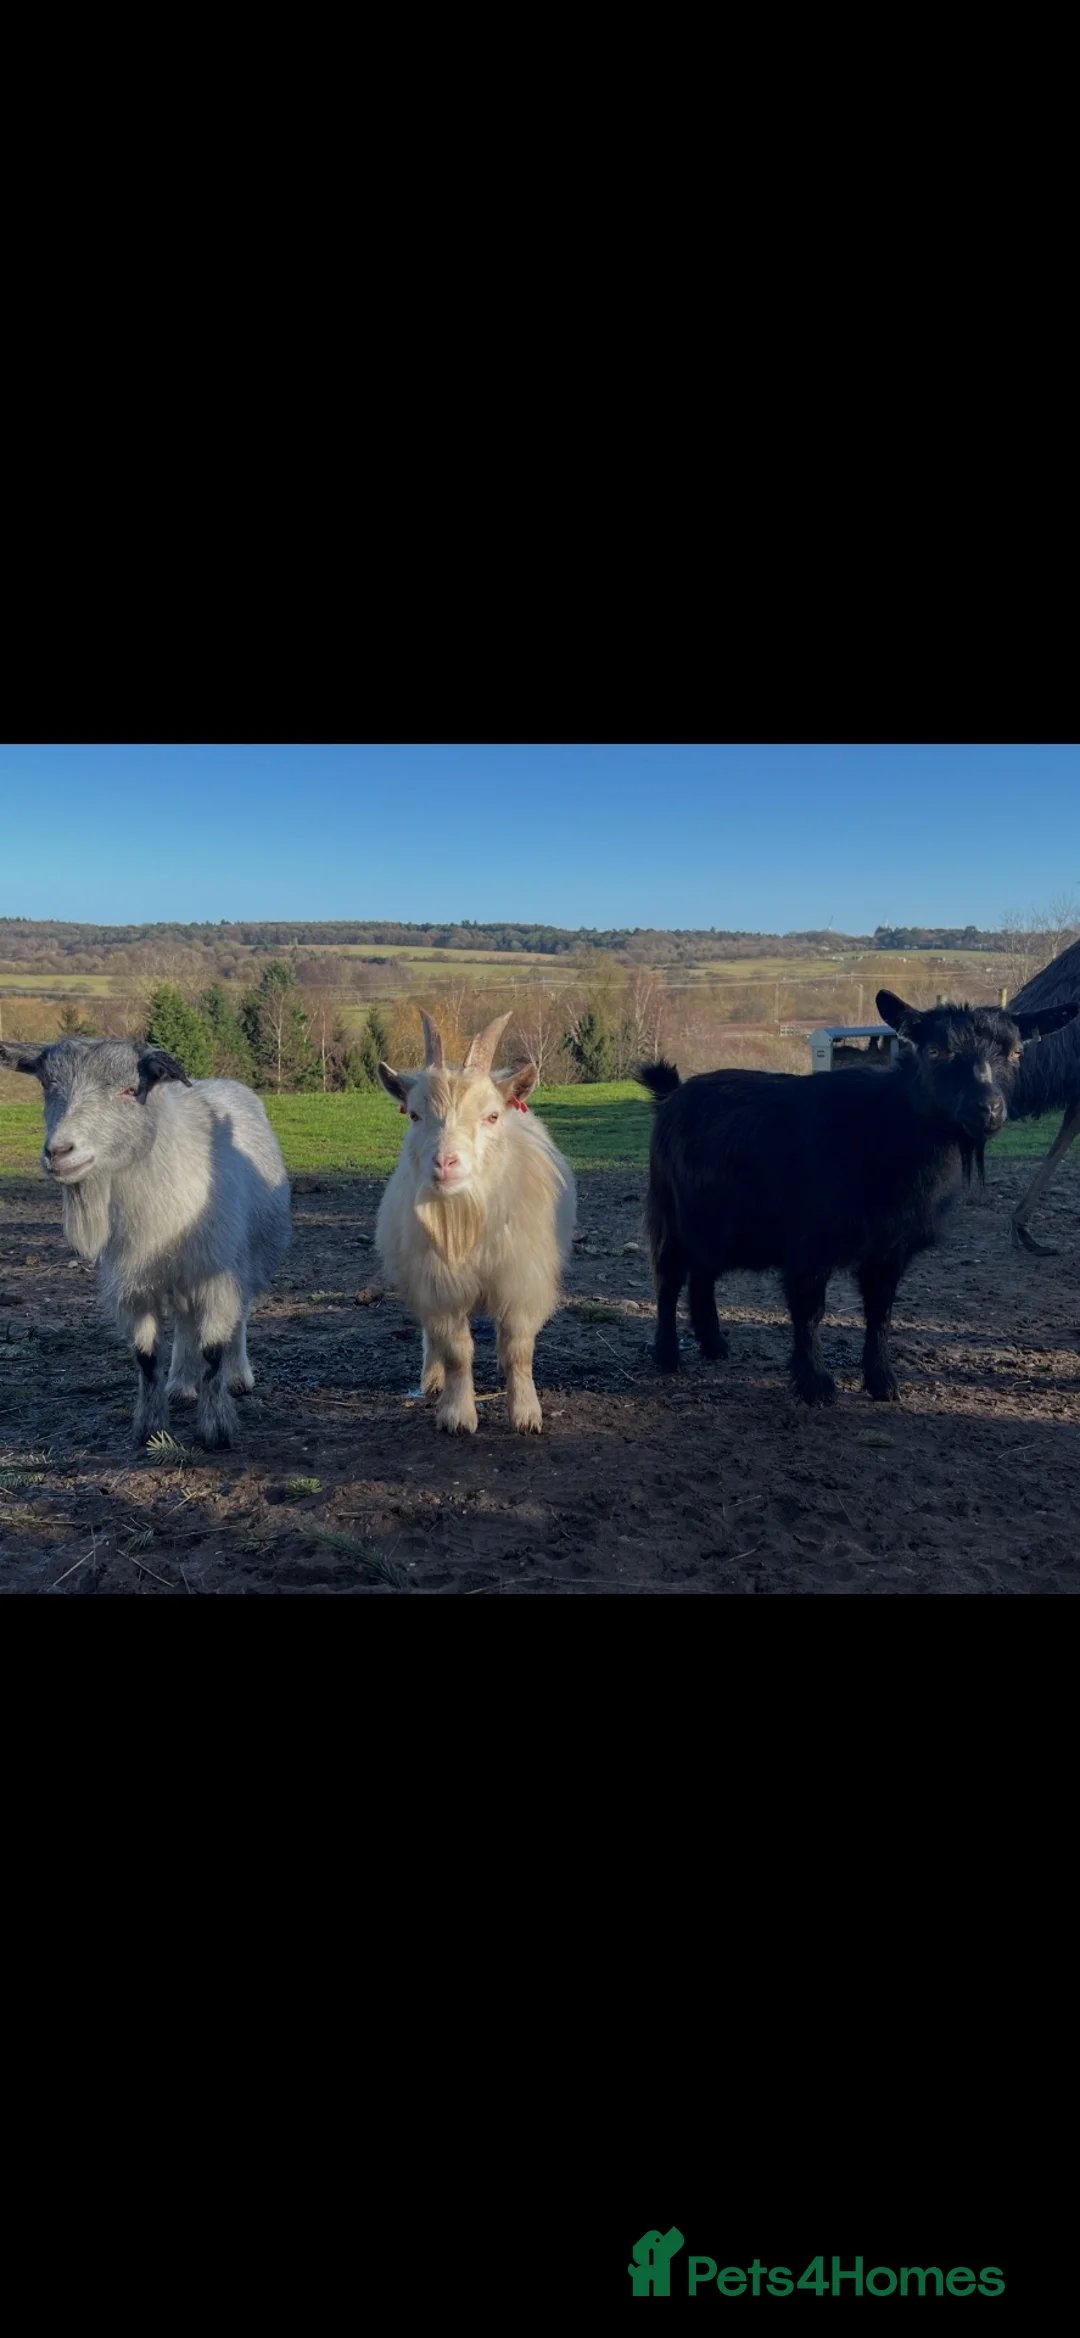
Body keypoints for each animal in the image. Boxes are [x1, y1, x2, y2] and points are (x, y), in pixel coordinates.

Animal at [0, 1037, 291, 1449]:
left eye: (129, 1090)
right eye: (45, 1084)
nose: (59, 1152)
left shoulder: (218, 1276)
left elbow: (213, 1351)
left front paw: (216, 1429)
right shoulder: (135, 1286)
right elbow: (146, 1357)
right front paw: (150, 1428)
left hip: (244, 1262)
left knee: (239, 1318)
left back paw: (238, 1376)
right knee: (185, 1323)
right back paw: (181, 1383)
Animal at [375, 1009, 576, 1433]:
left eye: (492, 1115)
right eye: (415, 1114)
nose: (445, 1163)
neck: (470, 1218)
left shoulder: (521, 1281)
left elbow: (518, 1348)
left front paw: (526, 1413)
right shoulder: (440, 1284)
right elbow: (455, 1350)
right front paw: (457, 1414)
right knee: (431, 1335)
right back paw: (432, 1378)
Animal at [639, 989, 1078, 1406]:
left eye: (1017, 1052)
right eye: (935, 1051)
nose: (988, 1109)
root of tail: (674, 1095)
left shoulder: (890, 1248)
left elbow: (879, 1312)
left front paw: (882, 1382)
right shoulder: (808, 1243)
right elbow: (809, 1311)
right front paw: (815, 1385)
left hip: (717, 1223)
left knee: (703, 1274)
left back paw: (714, 1345)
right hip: (671, 1213)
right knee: (670, 1276)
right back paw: (667, 1356)